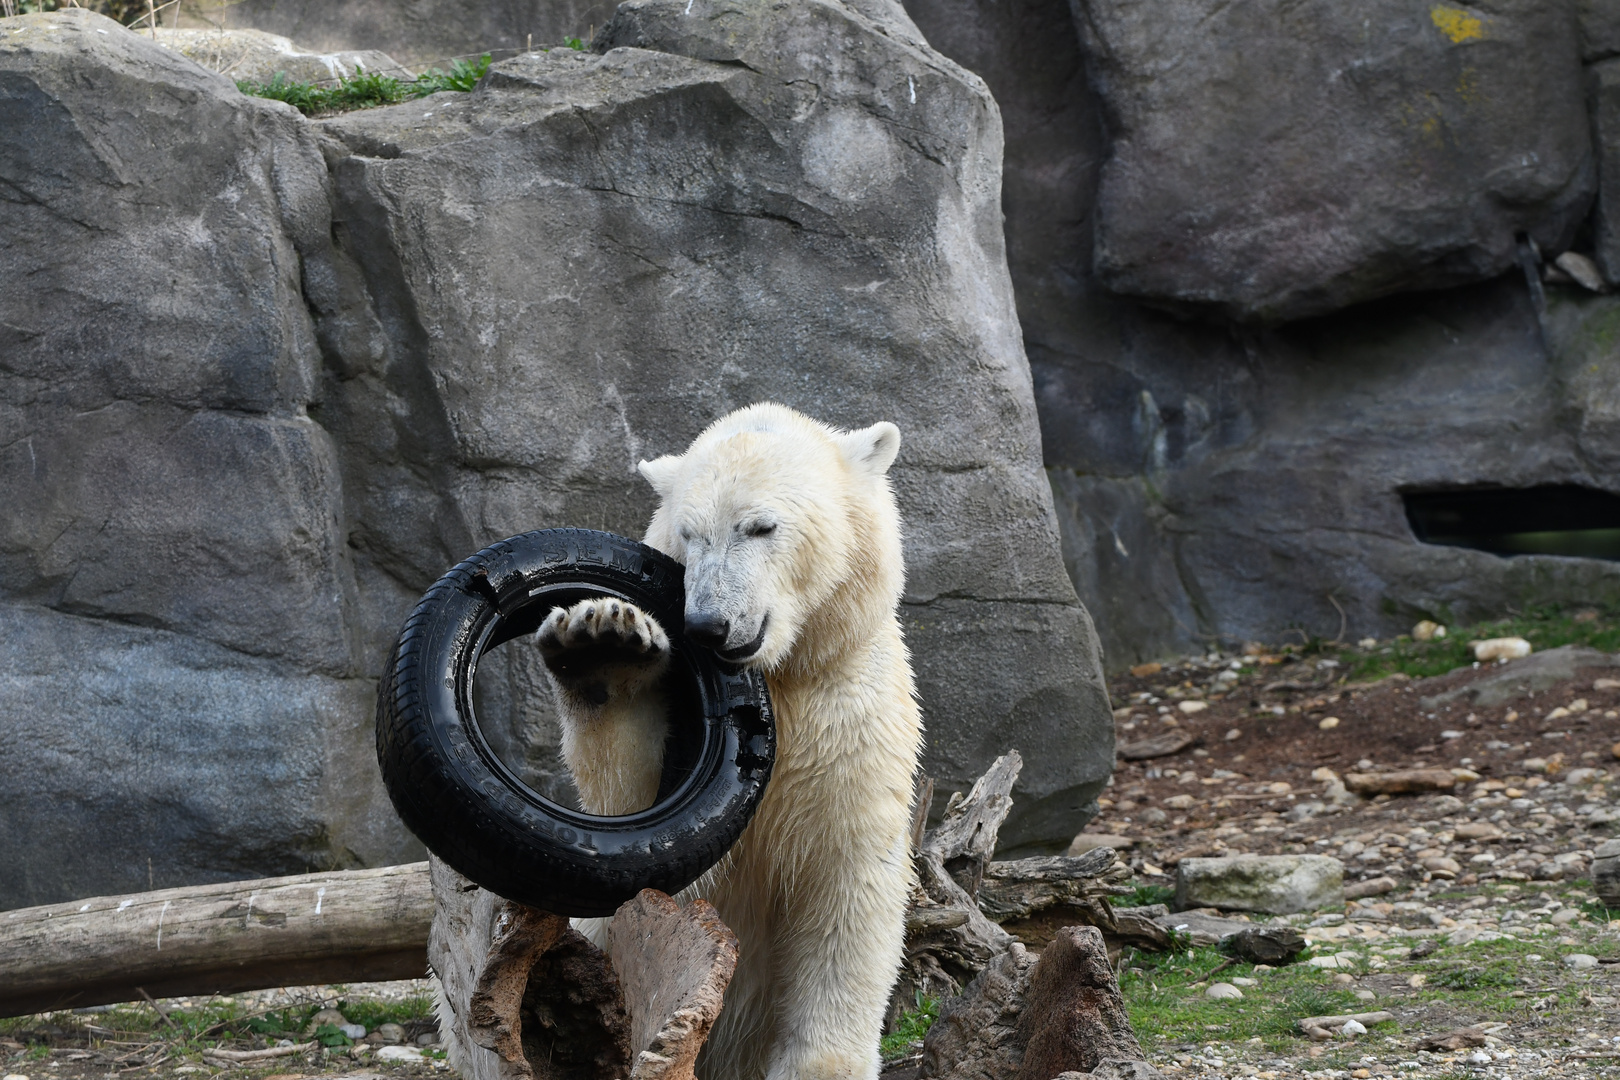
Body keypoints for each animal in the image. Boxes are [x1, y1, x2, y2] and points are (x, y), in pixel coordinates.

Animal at [537, 403, 920, 1080]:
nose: (709, 625)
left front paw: (824, 1064)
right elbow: (630, 814)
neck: (779, 675)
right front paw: (600, 649)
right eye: (690, 534)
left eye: (761, 526)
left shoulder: (850, 709)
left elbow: (848, 884)